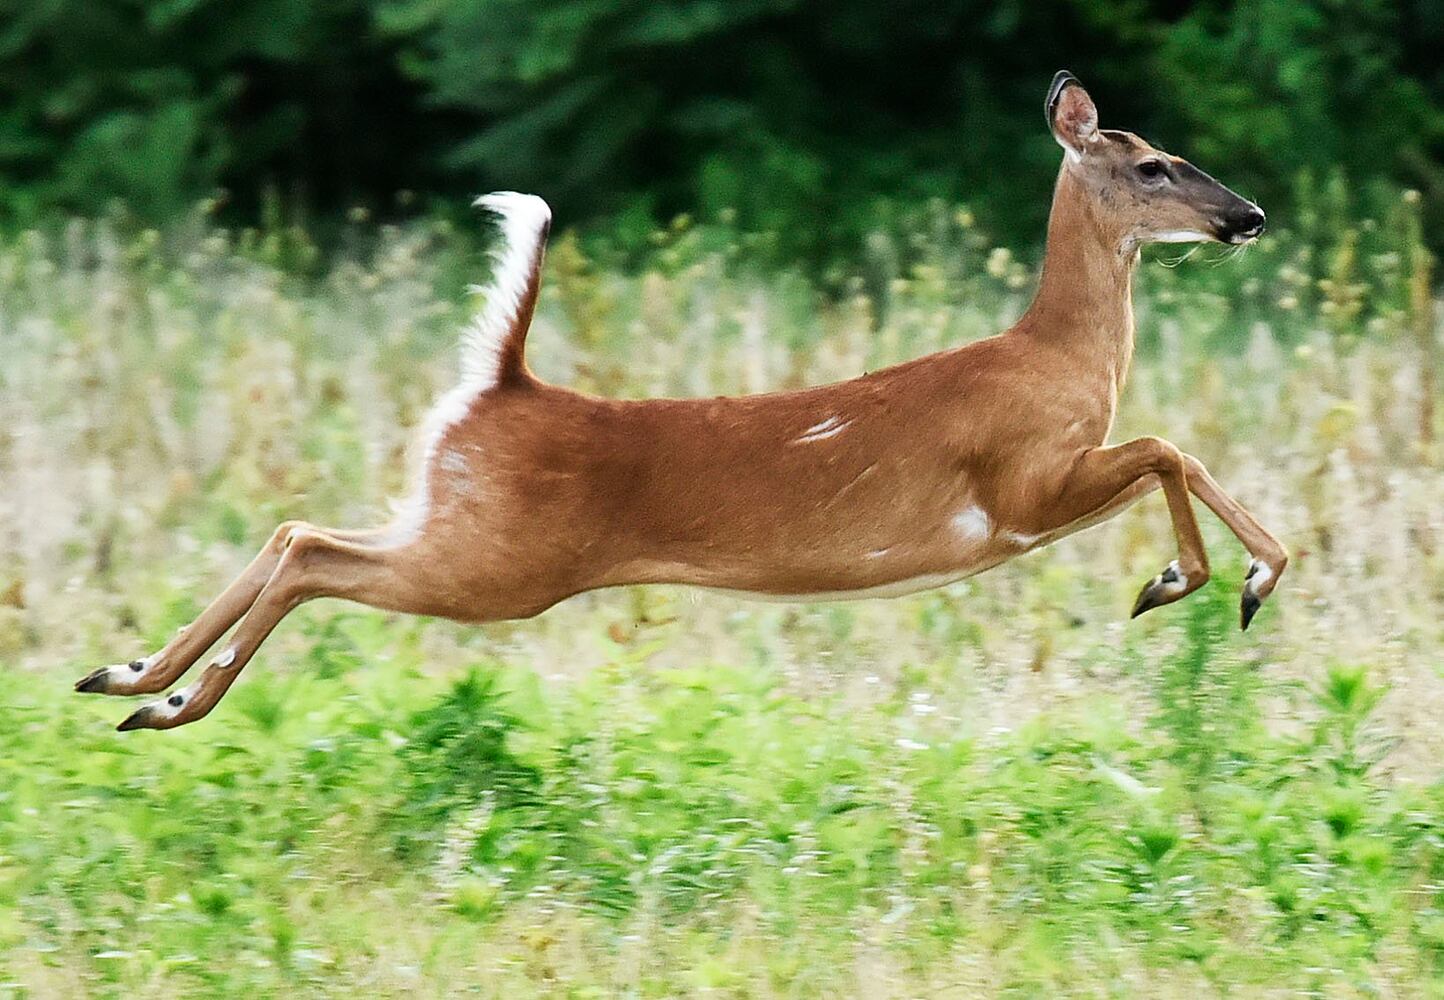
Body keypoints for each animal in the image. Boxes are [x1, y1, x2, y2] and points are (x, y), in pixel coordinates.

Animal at [76, 68, 1288, 724]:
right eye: (1153, 165)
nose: (1251, 215)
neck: (1058, 357)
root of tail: (503, 385)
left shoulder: (1037, 497)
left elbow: (1172, 450)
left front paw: (1209, 577)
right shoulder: (1017, 489)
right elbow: (1168, 447)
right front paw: (1208, 581)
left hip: (455, 522)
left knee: (295, 530)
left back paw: (129, 677)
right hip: (496, 563)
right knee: (313, 552)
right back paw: (165, 700)